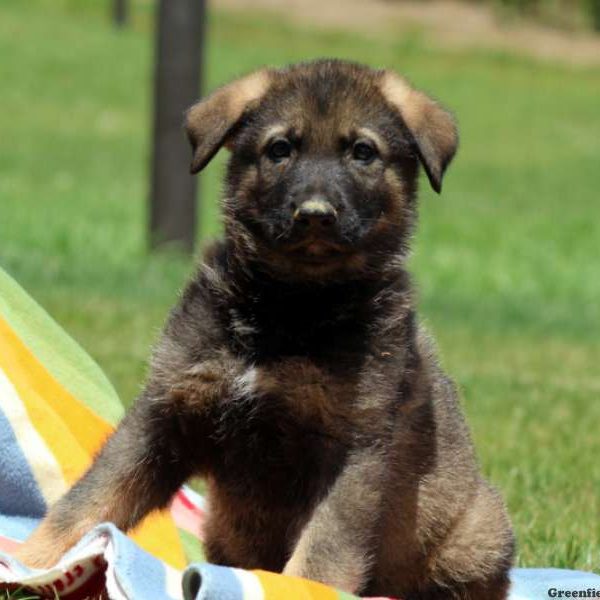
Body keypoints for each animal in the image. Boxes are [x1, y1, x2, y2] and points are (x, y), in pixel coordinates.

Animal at [18, 61, 516, 600]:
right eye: (280, 149)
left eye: (363, 152)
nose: (315, 215)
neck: (289, 307)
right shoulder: (166, 410)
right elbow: (89, 499)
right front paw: (31, 562)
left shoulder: (353, 450)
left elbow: (324, 547)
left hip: (479, 533)